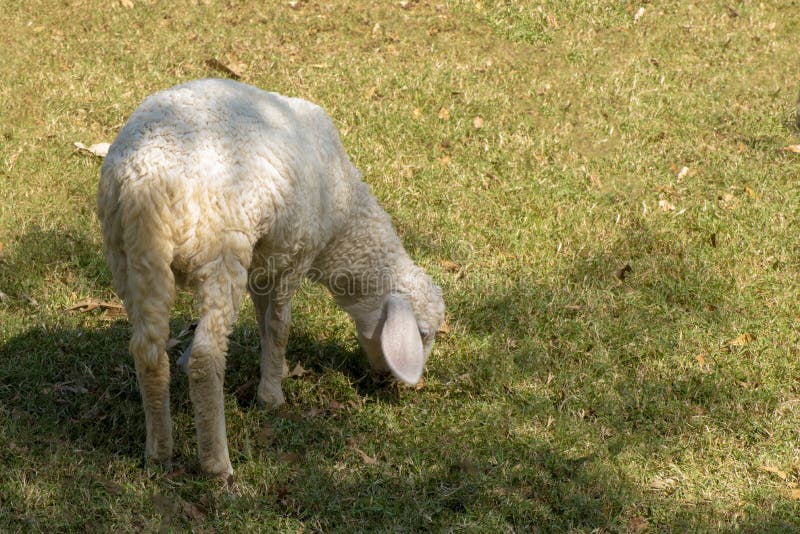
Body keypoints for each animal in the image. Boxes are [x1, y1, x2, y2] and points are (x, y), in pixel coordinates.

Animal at [97, 78, 446, 478]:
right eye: (423, 333)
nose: (391, 382)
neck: (344, 219)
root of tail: (148, 185)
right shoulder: (292, 256)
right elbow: (279, 326)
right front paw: (272, 395)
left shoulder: (262, 264)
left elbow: (265, 323)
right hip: (221, 253)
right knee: (207, 356)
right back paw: (217, 464)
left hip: (130, 258)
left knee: (148, 350)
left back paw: (159, 452)